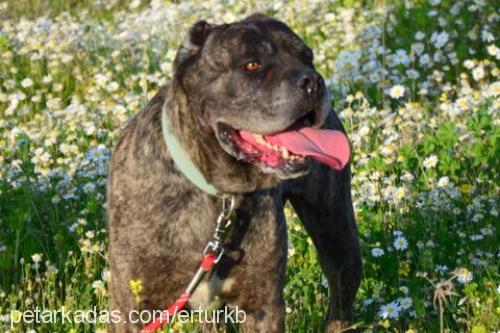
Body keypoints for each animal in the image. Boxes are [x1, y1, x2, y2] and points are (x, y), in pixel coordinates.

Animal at [107, 13, 362, 332]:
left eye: (307, 57)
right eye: (251, 65)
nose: (313, 81)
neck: (216, 190)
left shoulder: (262, 307)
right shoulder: (130, 310)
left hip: (336, 231)